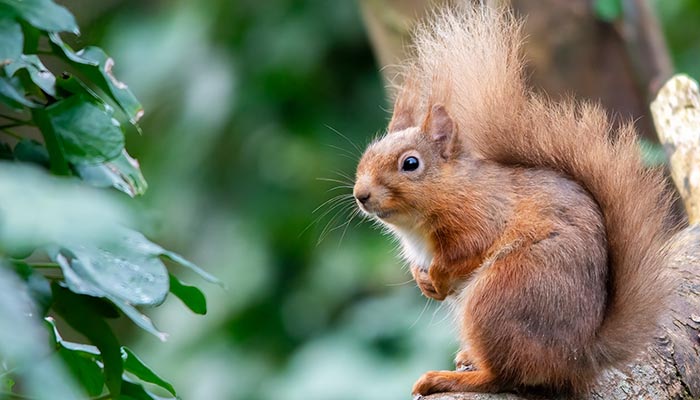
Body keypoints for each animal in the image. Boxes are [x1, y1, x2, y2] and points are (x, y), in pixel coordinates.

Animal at [352, 4, 677, 398]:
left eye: (410, 164)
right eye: (367, 153)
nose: (361, 195)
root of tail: (577, 358)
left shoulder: (482, 215)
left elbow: (465, 252)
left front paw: (439, 279)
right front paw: (424, 283)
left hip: (500, 295)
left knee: (503, 376)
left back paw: (447, 378)